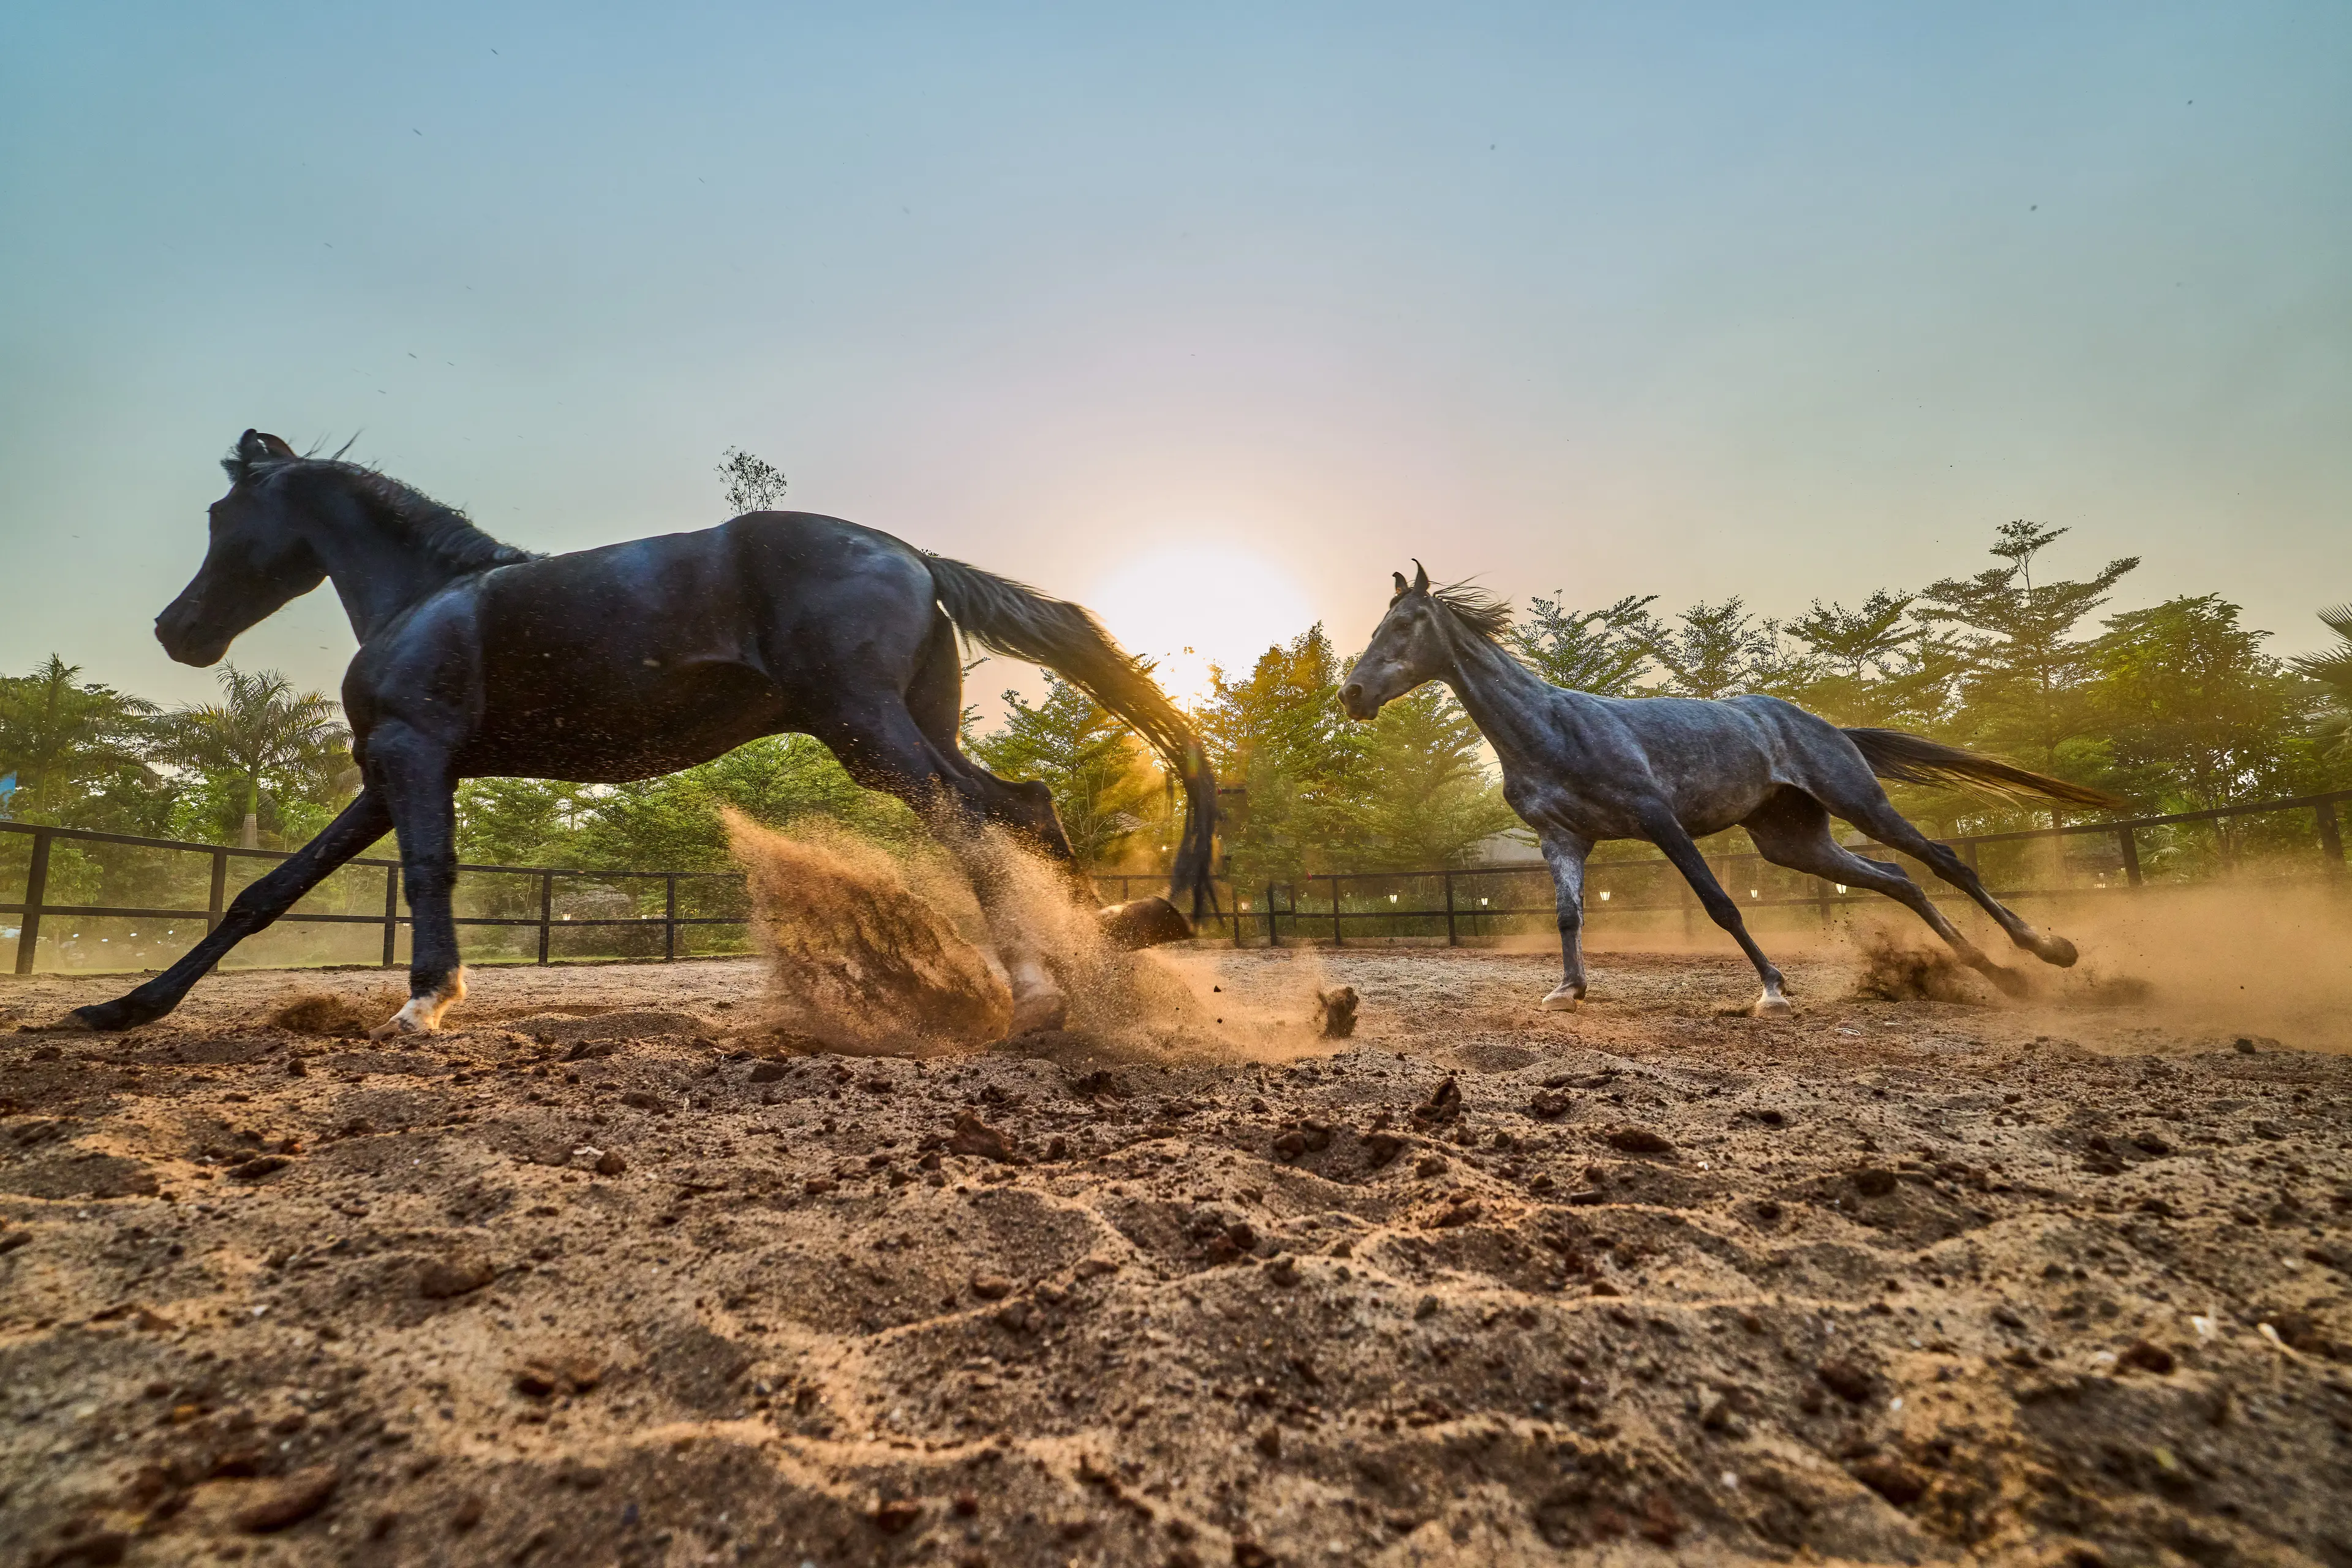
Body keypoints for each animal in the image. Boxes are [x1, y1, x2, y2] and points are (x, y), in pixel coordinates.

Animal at [64, 429, 1216, 1039]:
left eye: (222, 520)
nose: (177, 631)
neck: (428, 596)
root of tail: (910, 554)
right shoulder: (383, 776)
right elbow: (267, 891)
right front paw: (126, 1008)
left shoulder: (415, 753)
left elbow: (429, 873)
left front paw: (428, 1001)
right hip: (906, 722)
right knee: (1025, 807)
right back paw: (1107, 960)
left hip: (867, 729)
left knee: (974, 819)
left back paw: (1045, 988)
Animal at [1340, 564, 2114, 1016]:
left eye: (1403, 624)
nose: (1351, 694)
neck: (1550, 728)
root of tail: (1825, 724)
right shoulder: (1563, 839)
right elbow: (1567, 916)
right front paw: (1568, 989)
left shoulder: (1658, 819)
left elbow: (1719, 903)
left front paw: (1772, 986)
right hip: (1792, 842)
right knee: (1898, 880)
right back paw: (2000, 977)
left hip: (1860, 803)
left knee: (1942, 861)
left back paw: (2050, 951)